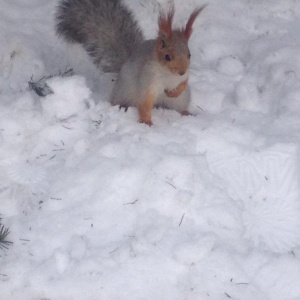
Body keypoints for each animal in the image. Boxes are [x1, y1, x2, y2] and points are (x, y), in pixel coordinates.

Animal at [56, 0, 206, 124]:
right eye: (167, 56)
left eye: (189, 55)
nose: (181, 71)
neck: (168, 74)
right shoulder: (147, 80)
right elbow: (145, 102)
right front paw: (146, 122)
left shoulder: (184, 77)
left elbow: (183, 84)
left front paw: (174, 92)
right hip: (124, 93)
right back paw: (122, 107)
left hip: (180, 101)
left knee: (178, 107)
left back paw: (186, 113)